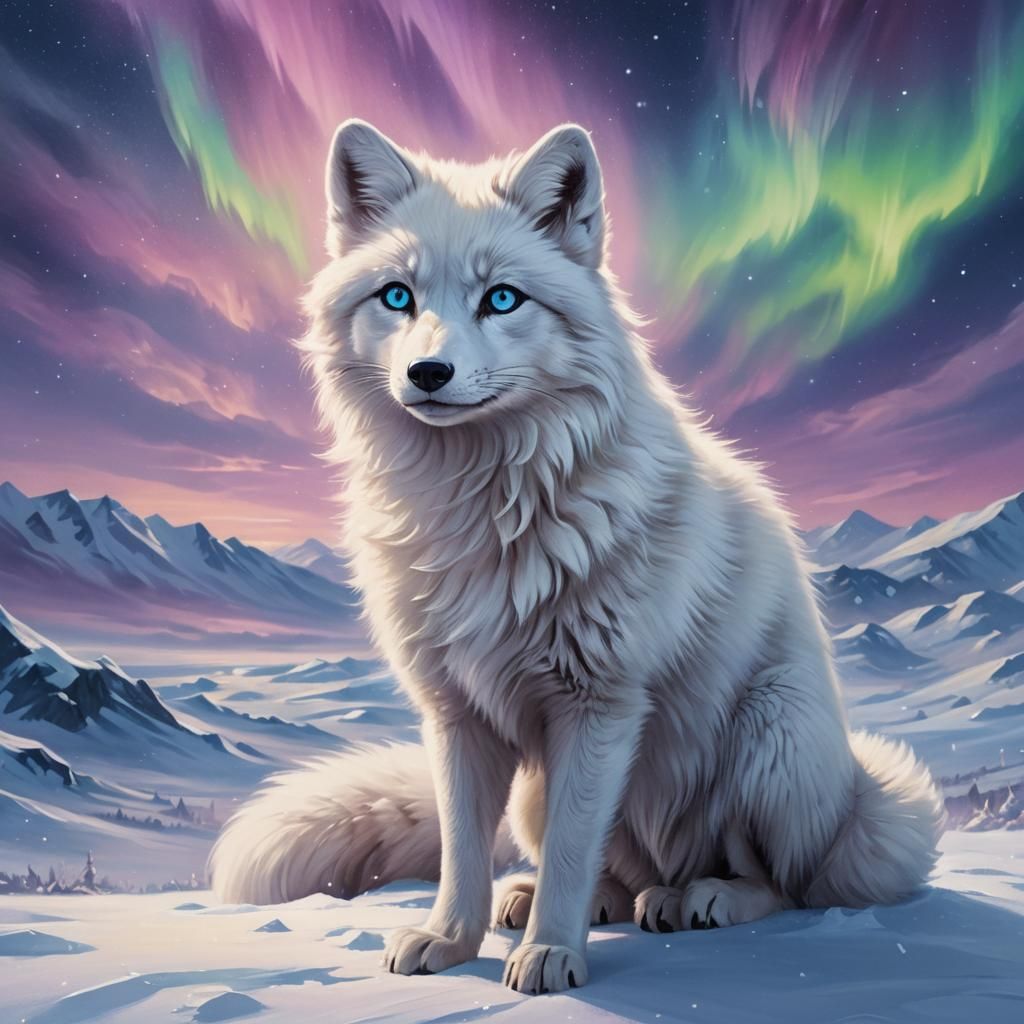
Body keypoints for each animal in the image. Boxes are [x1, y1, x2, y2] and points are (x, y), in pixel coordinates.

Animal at [209, 119, 943, 994]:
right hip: (540, 791)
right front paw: (450, 941)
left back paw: (702, 899)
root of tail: (861, 799)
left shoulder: (599, 704)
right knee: (615, 875)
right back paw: (572, 900)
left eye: (502, 298)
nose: (429, 372)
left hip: (774, 734)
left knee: (780, 881)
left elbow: (569, 847)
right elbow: (464, 851)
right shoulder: (455, 713)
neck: (483, 513)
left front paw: (551, 956)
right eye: (397, 296)